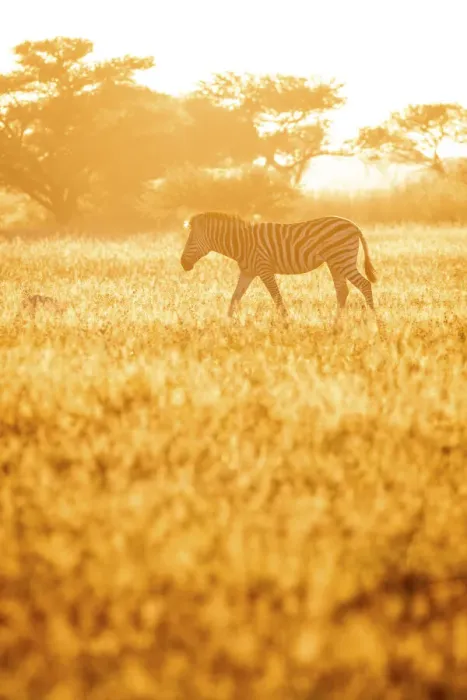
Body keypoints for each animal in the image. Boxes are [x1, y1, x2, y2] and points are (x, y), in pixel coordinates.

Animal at [181, 211, 380, 328]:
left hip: (342, 259)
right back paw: (336, 324)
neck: (242, 243)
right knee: (342, 291)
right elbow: (235, 298)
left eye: (190, 240)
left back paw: (375, 321)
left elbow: (276, 298)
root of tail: (353, 225)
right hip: (335, 263)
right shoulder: (247, 272)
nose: (183, 264)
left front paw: (286, 323)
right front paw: (225, 324)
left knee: (364, 284)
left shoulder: (264, 269)